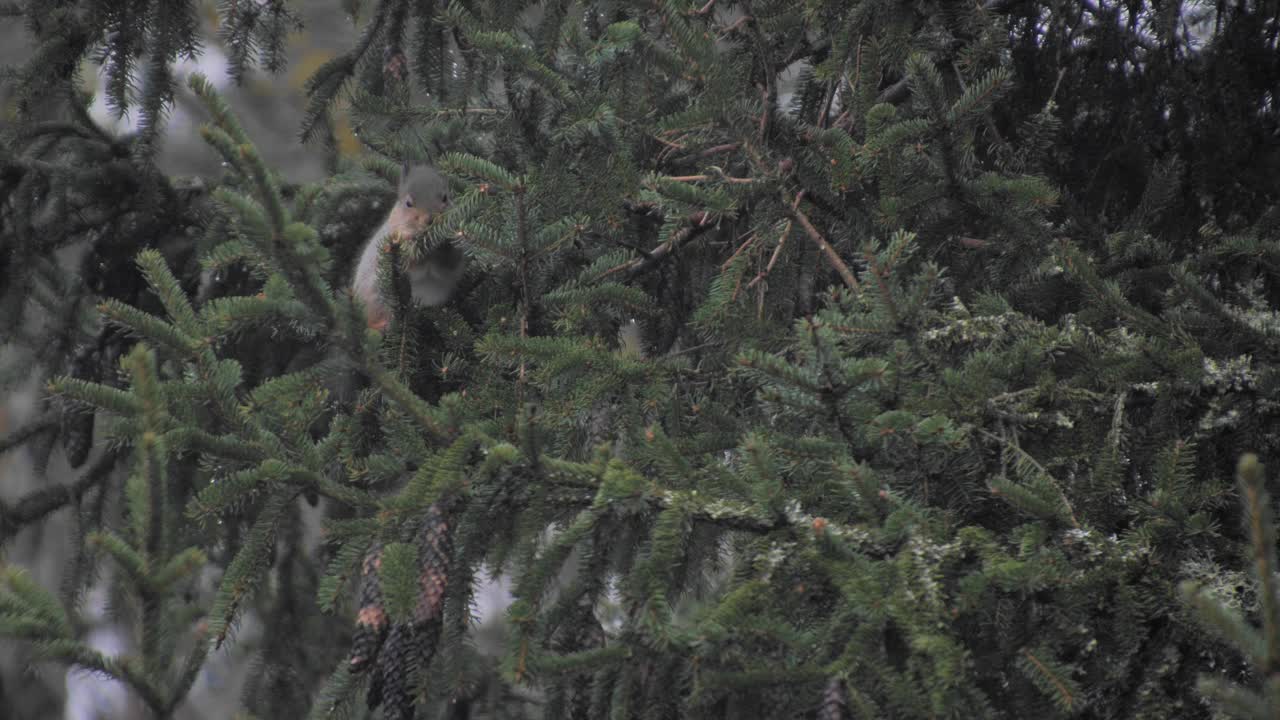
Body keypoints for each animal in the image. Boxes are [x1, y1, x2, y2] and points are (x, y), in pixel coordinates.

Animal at [350, 163, 465, 327]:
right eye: (408, 203)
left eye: (445, 198)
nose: (431, 220)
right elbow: (413, 264)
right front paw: (413, 240)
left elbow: (449, 263)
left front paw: (445, 242)